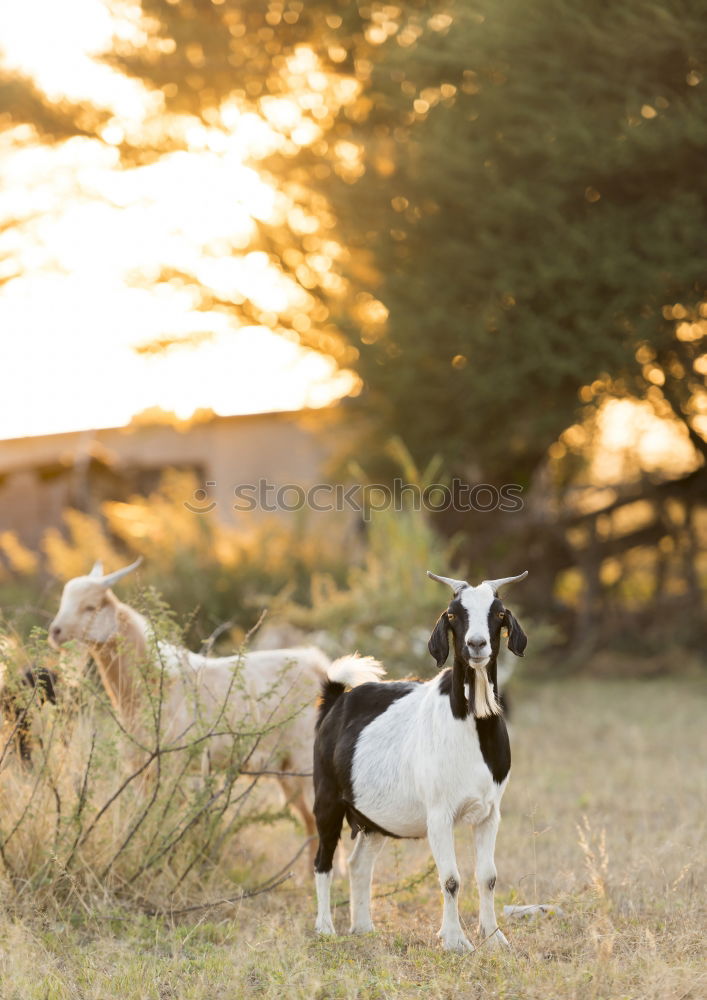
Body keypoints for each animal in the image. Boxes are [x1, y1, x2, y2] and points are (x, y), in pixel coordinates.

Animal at [48, 560, 348, 848]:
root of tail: (321, 667)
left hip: (305, 762)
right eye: (63, 599)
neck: (151, 682)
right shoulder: (142, 768)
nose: (55, 631)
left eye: (90, 606)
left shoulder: (172, 764)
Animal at [312, 572, 528, 952]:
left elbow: (487, 876)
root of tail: (336, 698)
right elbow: (451, 879)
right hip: (326, 797)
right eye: (453, 614)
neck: (470, 723)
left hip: (373, 820)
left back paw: (364, 927)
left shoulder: (490, 812)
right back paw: (325, 928)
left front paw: (494, 937)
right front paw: (455, 941)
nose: (476, 645)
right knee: (323, 860)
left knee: (358, 863)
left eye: (499, 613)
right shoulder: (439, 814)